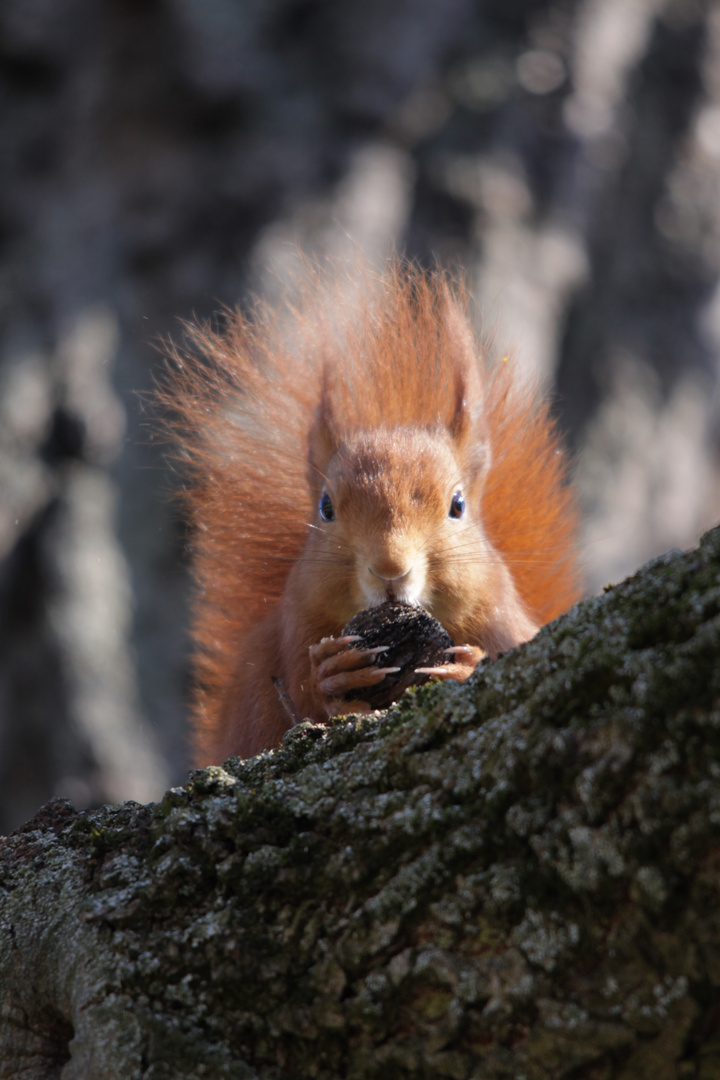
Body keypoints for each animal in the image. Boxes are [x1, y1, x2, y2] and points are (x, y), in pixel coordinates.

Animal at [162, 260, 578, 764]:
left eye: (457, 505)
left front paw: (468, 667)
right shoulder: (295, 626)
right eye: (325, 507)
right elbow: (304, 697)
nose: (390, 569)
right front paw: (333, 675)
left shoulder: (503, 621)